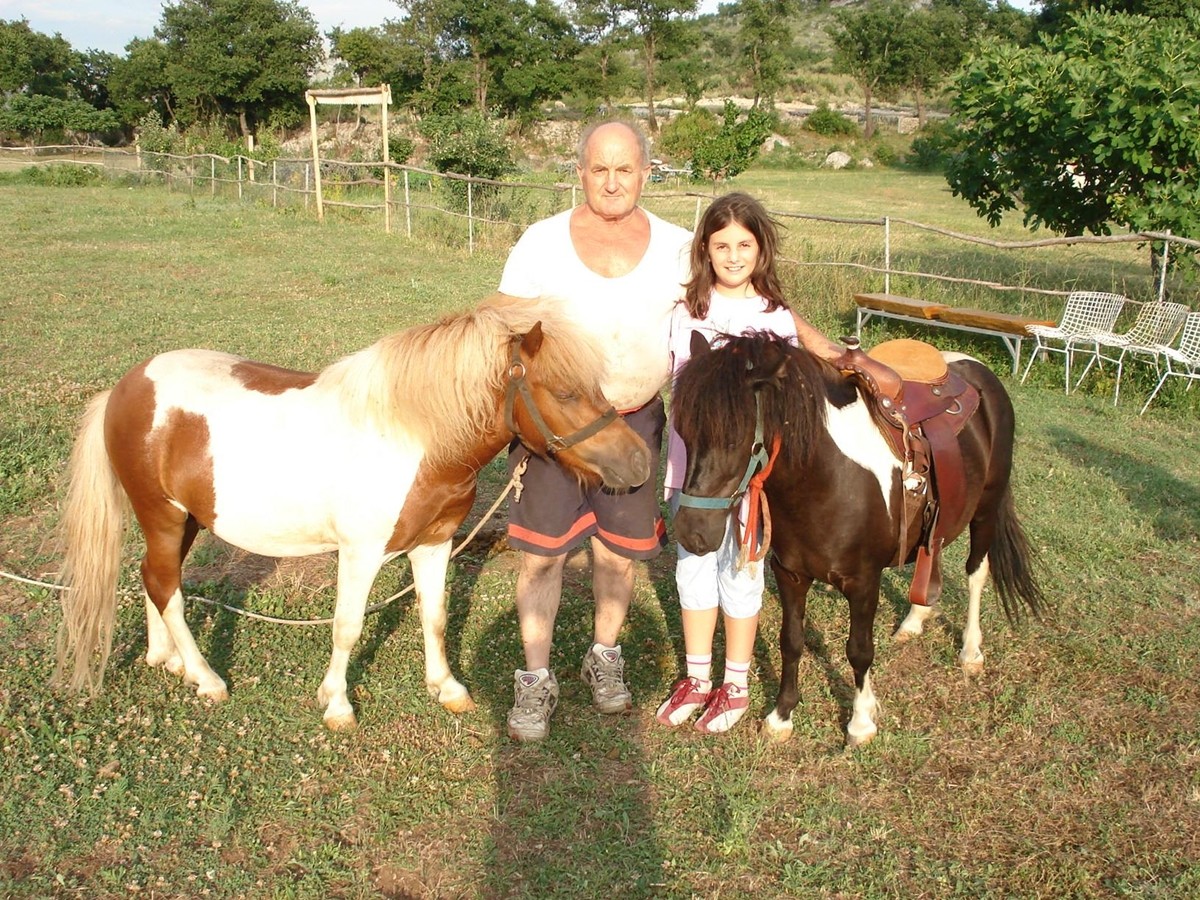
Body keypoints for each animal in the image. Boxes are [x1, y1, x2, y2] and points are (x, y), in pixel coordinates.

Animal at [56, 297, 652, 734]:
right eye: (566, 392)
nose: (640, 461)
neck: (414, 436)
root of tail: (124, 388)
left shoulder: (434, 543)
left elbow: (434, 616)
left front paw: (448, 688)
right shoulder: (360, 553)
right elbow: (347, 627)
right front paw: (337, 704)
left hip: (185, 521)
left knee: (156, 579)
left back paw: (169, 659)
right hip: (160, 515)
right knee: (165, 585)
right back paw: (206, 678)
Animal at [676, 331, 1041, 748]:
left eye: (739, 440)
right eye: (683, 433)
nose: (692, 533)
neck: (827, 478)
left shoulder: (864, 581)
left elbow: (859, 651)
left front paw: (861, 722)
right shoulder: (790, 574)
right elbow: (791, 641)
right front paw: (781, 716)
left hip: (986, 509)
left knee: (977, 574)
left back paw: (970, 650)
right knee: (932, 556)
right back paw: (913, 622)